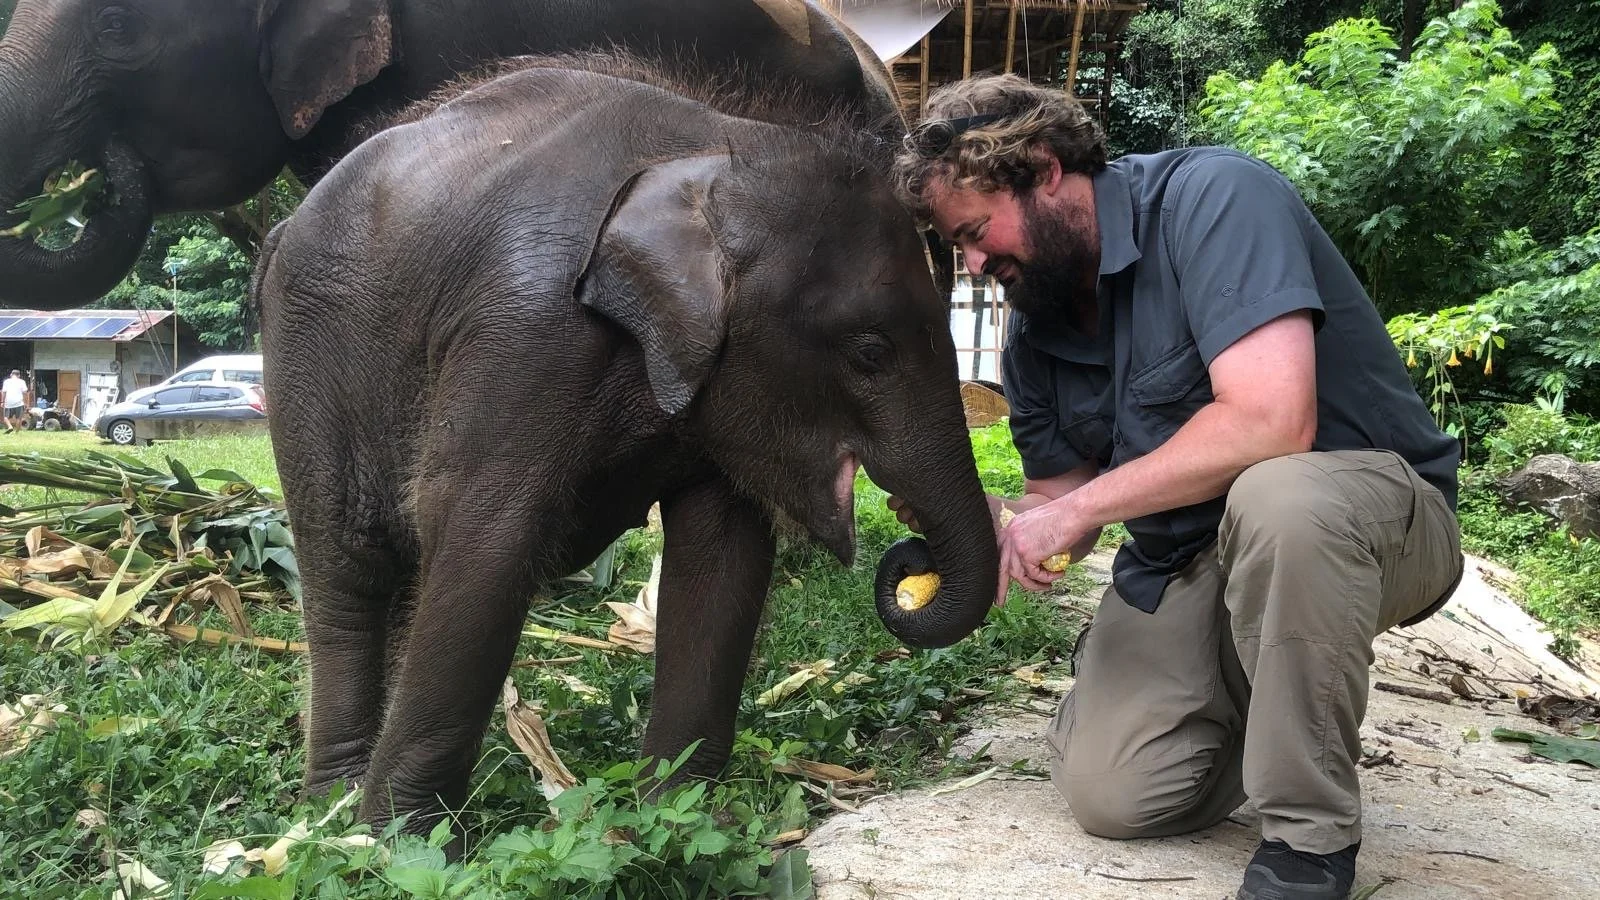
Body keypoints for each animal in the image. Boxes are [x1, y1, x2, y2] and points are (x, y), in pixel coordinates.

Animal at [253, 48, 998, 838]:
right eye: (869, 352)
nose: (912, 555)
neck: (720, 148)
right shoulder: (527, 325)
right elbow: (484, 532)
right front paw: (409, 843)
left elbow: (725, 552)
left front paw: (679, 819)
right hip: (310, 353)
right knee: (351, 561)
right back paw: (330, 813)